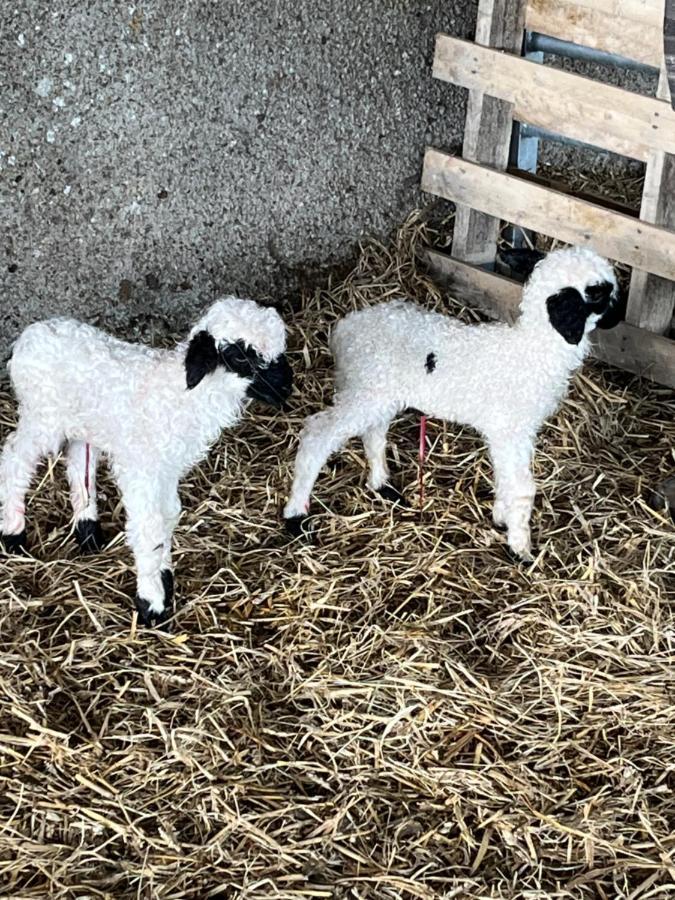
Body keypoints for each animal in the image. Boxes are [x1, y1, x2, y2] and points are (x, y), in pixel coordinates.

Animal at [1, 296, 294, 624]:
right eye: (240, 356)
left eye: (280, 349)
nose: (286, 388)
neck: (182, 397)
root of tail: (30, 335)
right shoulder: (141, 470)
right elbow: (149, 528)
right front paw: (151, 602)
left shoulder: (165, 471)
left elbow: (168, 517)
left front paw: (165, 578)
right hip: (42, 417)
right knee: (14, 461)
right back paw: (13, 534)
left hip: (83, 422)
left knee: (79, 463)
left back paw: (88, 531)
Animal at [284, 244, 624, 556]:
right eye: (598, 293)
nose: (621, 315)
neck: (533, 349)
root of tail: (343, 329)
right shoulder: (512, 430)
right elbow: (522, 488)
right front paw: (521, 548)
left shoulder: (505, 433)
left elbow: (505, 478)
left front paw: (501, 519)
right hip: (365, 390)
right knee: (318, 434)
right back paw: (296, 516)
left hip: (377, 392)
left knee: (373, 433)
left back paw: (382, 486)